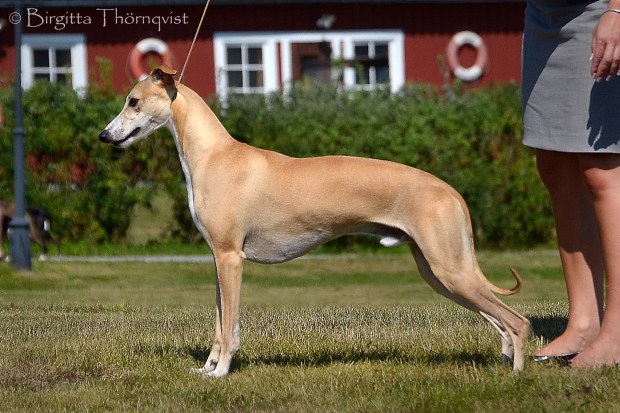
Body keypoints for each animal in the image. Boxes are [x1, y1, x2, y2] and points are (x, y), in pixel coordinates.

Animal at [99, 66, 530, 377]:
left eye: (133, 101)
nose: (104, 135)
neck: (215, 155)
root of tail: (451, 191)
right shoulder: (217, 259)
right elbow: (219, 325)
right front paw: (206, 370)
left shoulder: (231, 259)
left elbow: (231, 328)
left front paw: (221, 374)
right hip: (441, 273)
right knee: (500, 321)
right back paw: (503, 365)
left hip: (450, 269)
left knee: (518, 321)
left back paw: (517, 375)